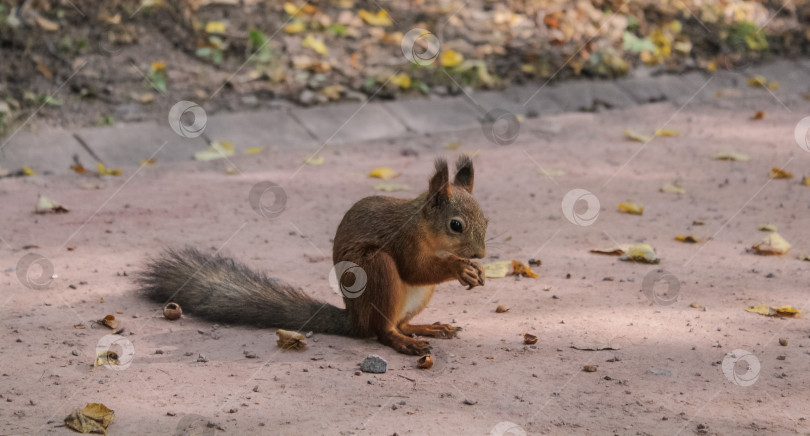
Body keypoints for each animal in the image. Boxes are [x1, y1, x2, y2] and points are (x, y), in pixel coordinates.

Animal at [137, 156, 486, 354]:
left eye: (486, 218)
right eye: (455, 225)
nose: (481, 254)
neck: (425, 229)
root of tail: (354, 319)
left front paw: (472, 269)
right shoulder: (402, 241)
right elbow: (415, 269)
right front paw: (460, 268)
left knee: (400, 322)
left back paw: (425, 328)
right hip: (376, 269)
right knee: (383, 330)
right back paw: (403, 341)